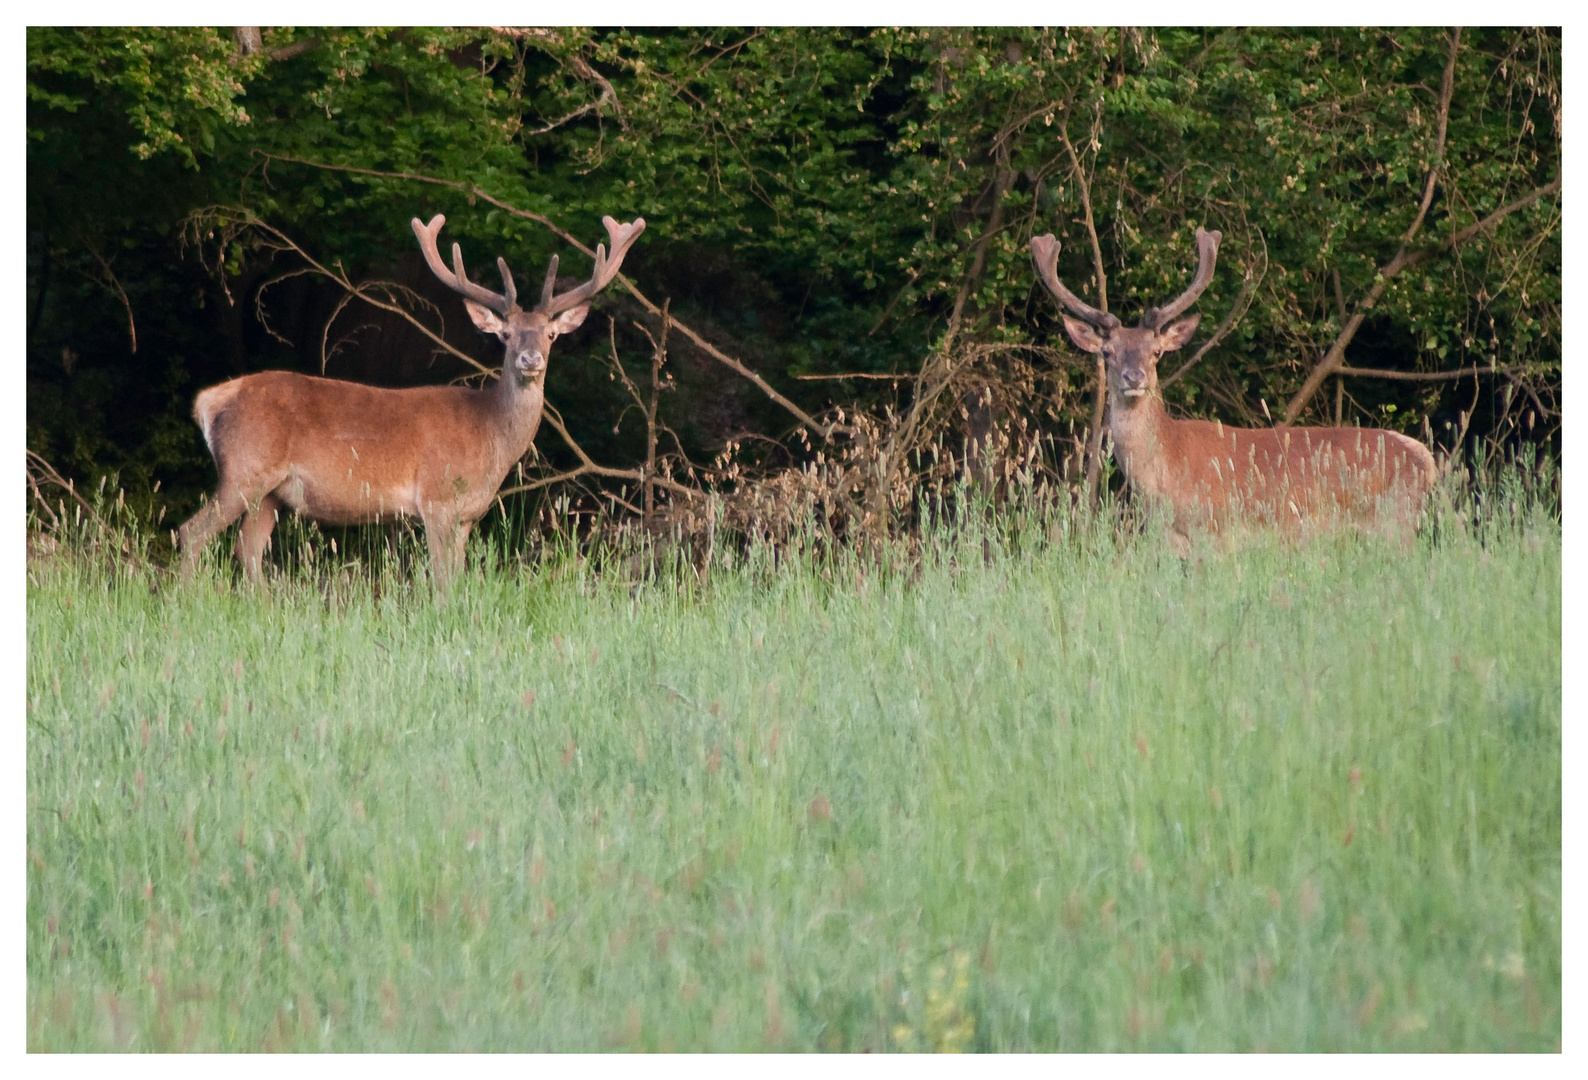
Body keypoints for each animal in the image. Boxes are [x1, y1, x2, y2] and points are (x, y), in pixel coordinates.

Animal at [177, 208, 641, 587]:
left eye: (550, 335)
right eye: (506, 335)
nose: (530, 359)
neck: (490, 435)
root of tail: (209, 401)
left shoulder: (467, 515)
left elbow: (458, 577)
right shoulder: (435, 499)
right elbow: (441, 580)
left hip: (270, 491)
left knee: (247, 549)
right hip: (244, 469)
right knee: (191, 532)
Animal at [1029, 227, 1441, 549]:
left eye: (1156, 351)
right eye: (1108, 352)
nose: (1134, 377)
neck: (1167, 470)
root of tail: (1425, 457)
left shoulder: (1216, 530)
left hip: (1396, 520)